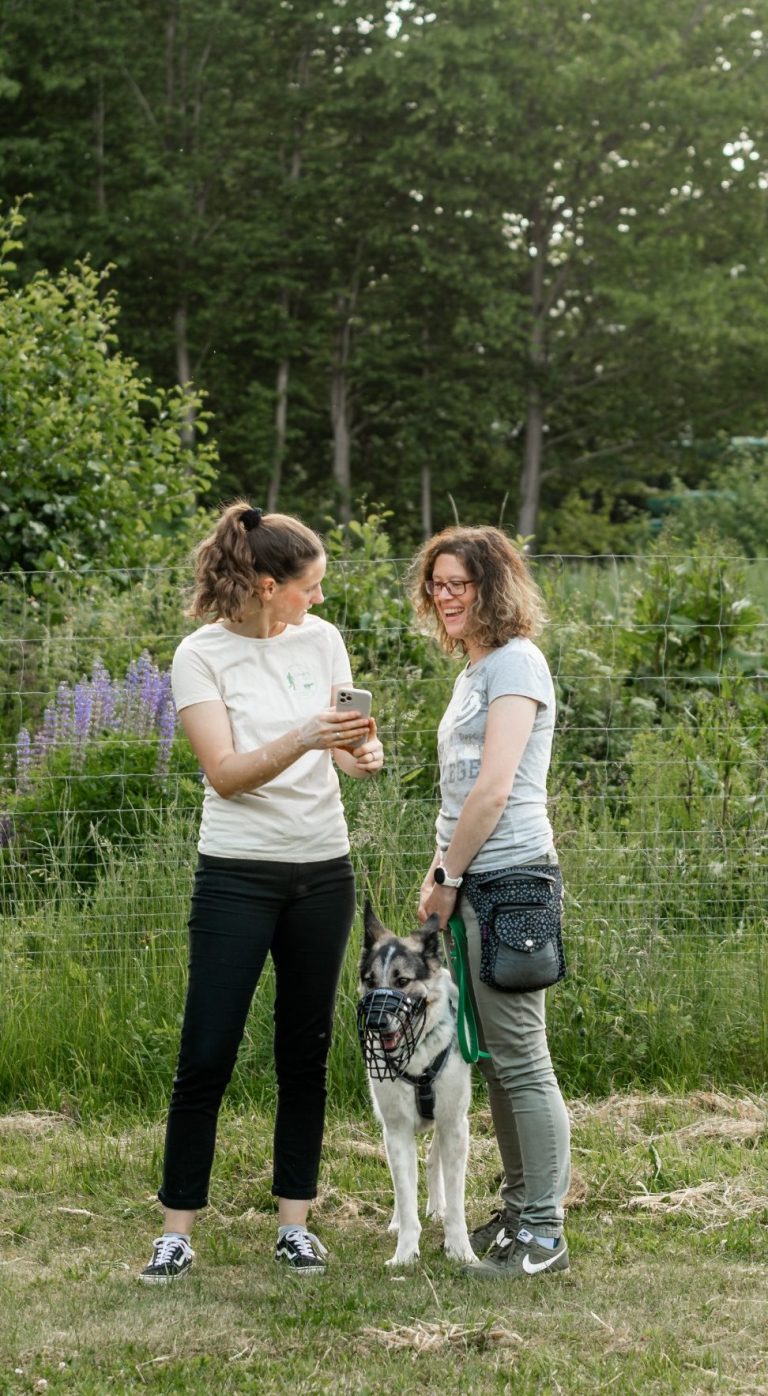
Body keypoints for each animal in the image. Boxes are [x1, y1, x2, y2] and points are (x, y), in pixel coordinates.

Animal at [360, 899, 477, 1273]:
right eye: (369, 981)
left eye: (402, 980)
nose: (374, 1021)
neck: (417, 1057)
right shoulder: (396, 1130)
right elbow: (405, 1194)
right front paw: (405, 1253)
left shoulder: (455, 1124)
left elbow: (457, 1202)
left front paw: (460, 1249)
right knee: (405, 1183)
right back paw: (400, 1219)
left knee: (432, 1157)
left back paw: (437, 1206)